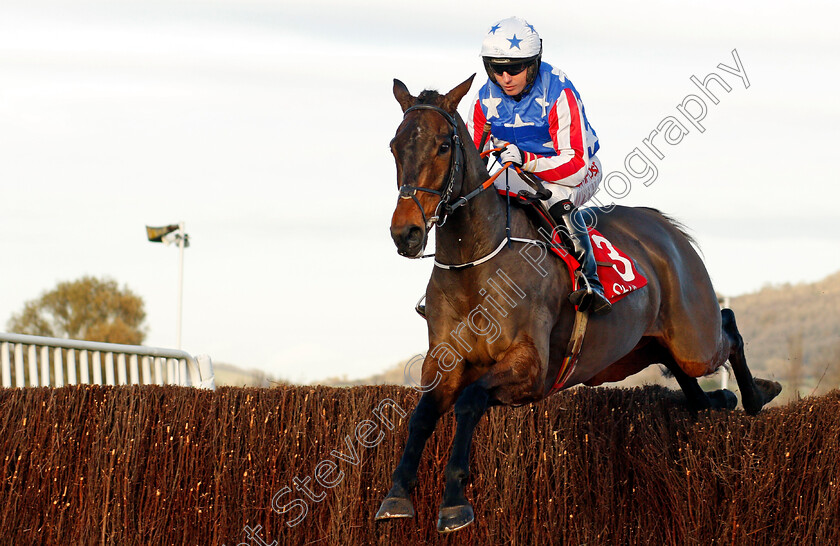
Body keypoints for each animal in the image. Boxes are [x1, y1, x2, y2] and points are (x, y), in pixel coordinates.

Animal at [376, 75, 780, 532]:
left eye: (444, 145)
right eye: (395, 146)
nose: (406, 233)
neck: (476, 265)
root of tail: (666, 229)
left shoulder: (529, 369)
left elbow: (470, 402)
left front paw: (455, 501)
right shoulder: (444, 362)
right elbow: (422, 415)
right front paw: (396, 494)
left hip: (695, 339)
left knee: (727, 327)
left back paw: (757, 395)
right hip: (635, 352)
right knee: (684, 373)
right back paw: (721, 399)